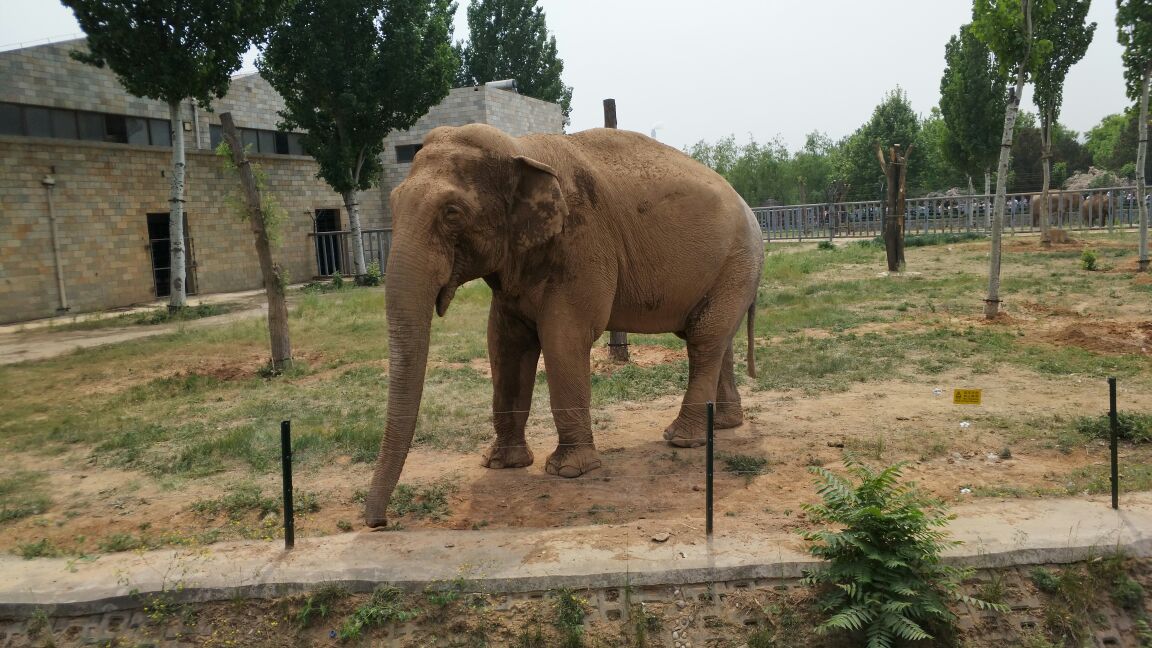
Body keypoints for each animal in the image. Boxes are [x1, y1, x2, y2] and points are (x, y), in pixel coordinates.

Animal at [364, 122, 764, 525]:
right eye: (393, 203)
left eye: (452, 213)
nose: (378, 522)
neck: (521, 149)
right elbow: (504, 344)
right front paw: (501, 464)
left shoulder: (583, 245)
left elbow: (564, 339)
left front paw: (569, 471)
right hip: (731, 270)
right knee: (715, 339)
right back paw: (724, 424)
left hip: (737, 261)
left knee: (704, 340)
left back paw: (681, 439)